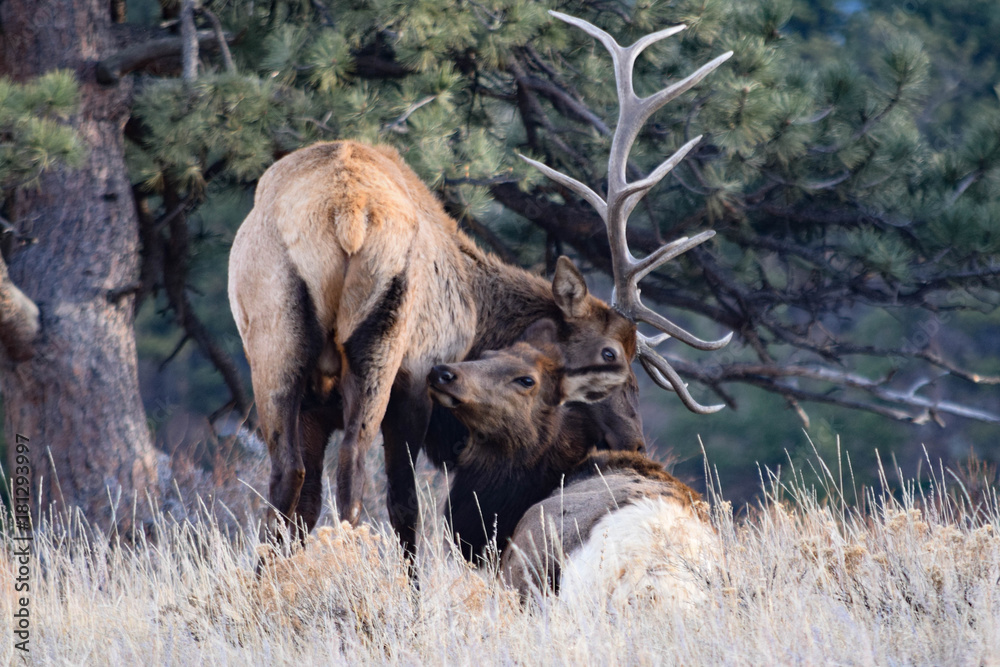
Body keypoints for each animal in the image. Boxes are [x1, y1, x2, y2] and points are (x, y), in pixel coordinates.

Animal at [226, 10, 733, 559]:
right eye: (611, 355)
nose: (636, 443)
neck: (478, 313)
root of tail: (347, 212)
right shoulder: (421, 377)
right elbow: (403, 503)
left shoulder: (317, 404)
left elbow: (301, 506)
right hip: (387, 348)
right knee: (359, 478)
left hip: (274, 343)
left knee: (286, 478)